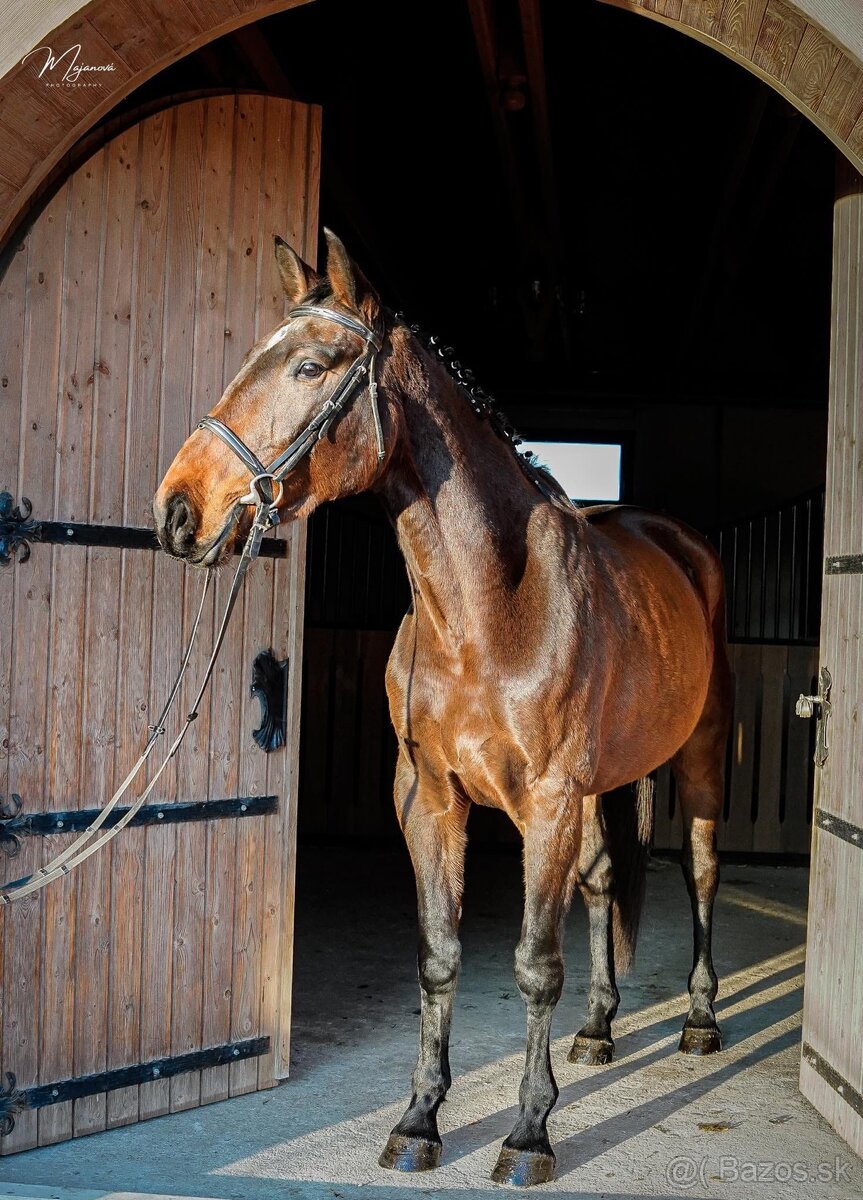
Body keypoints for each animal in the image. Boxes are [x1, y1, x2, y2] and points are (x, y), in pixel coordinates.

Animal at [153, 229, 729, 1185]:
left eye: (309, 366)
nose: (177, 511)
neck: (489, 612)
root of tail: (675, 539)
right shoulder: (429, 798)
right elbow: (438, 955)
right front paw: (419, 1120)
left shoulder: (547, 803)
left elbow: (534, 965)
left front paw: (528, 1134)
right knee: (604, 882)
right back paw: (599, 1031)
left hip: (701, 759)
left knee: (703, 871)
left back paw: (699, 1020)